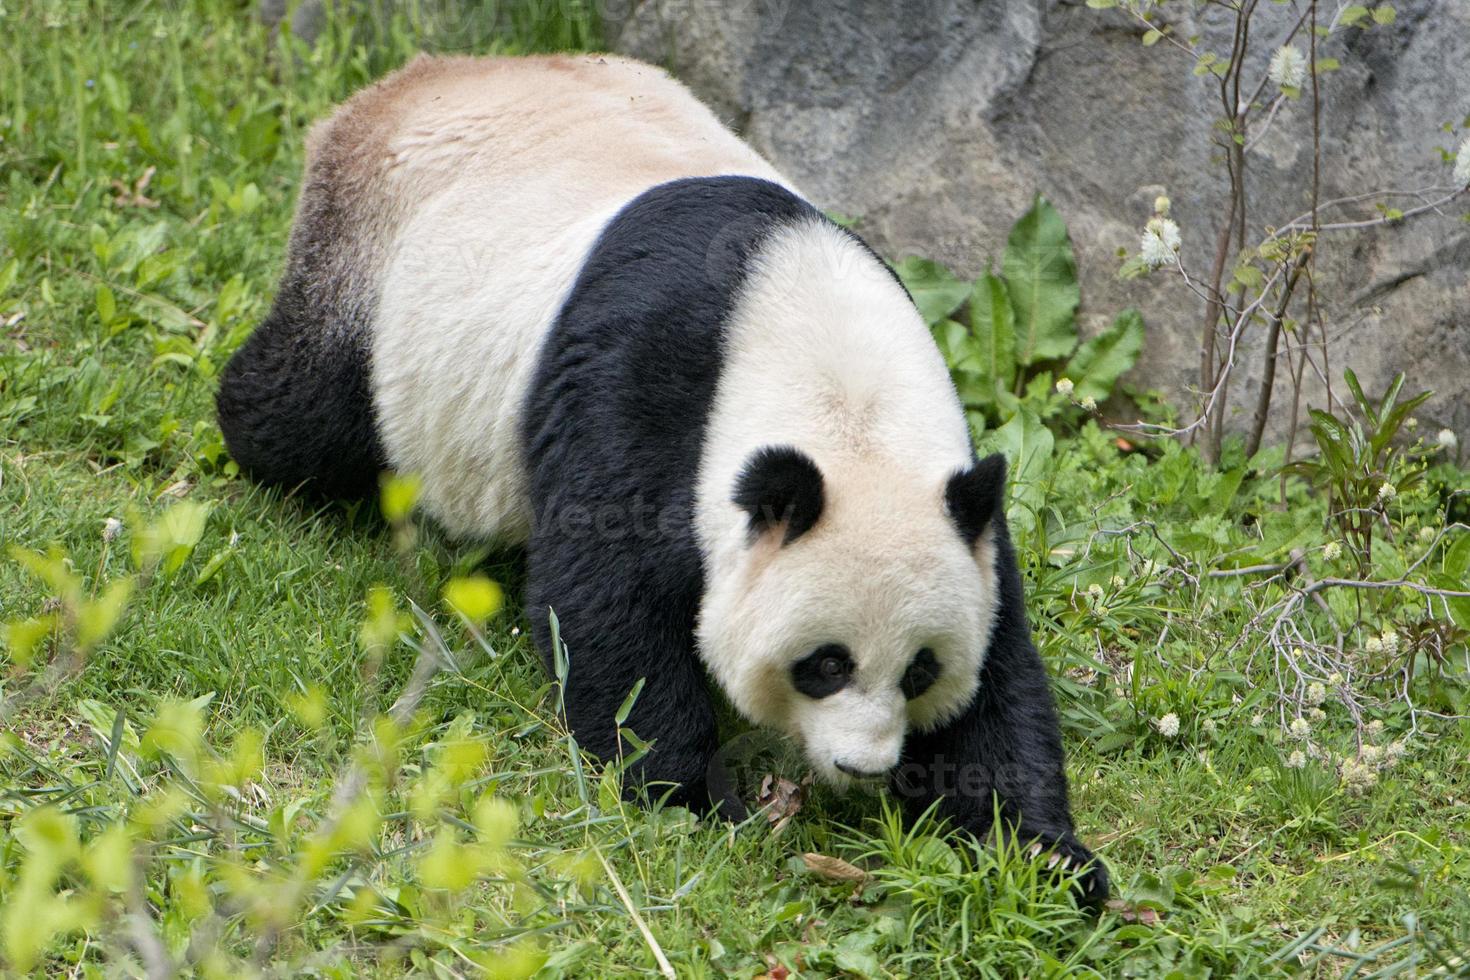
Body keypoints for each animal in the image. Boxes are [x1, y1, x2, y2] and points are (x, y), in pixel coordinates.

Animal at [217, 51, 1105, 899]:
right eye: (825, 664)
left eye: (920, 668)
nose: (864, 767)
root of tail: (409, 81)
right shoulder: (644, 389)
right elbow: (609, 601)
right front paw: (695, 798)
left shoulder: (960, 499)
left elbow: (1001, 679)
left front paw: (1043, 858)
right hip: (369, 264)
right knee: (301, 411)